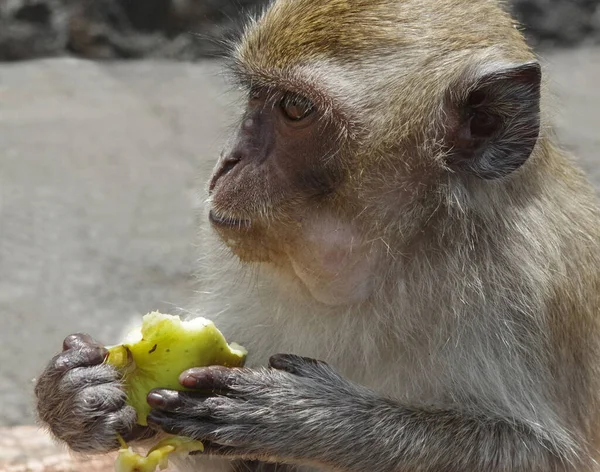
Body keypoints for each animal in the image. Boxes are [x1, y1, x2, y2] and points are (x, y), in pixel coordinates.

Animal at [34, 0, 600, 472]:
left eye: (295, 108)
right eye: (255, 96)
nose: (227, 163)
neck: (399, 254)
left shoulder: (527, 289)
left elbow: (541, 456)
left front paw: (312, 419)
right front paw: (79, 397)